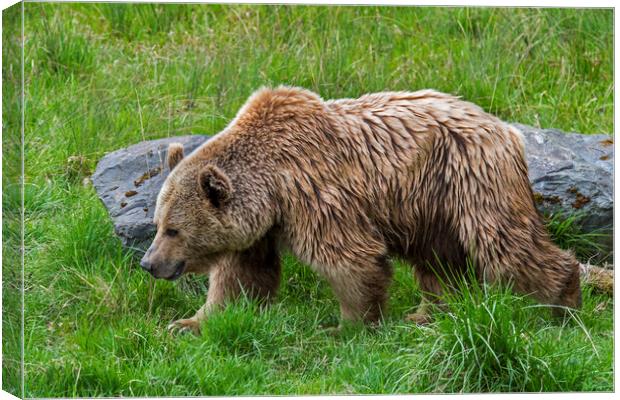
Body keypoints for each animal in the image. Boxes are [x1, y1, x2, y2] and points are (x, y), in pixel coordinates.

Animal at [139, 86, 580, 332]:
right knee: (440, 262)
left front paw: (345, 327)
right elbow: (241, 278)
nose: (148, 263)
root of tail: (506, 128)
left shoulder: (315, 192)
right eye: (157, 223)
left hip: (471, 178)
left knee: (504, 244)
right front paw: (188, 323)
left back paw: (562, 302)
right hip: (431, 206)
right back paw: (429, 314)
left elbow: (350, 257)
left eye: (174, 229)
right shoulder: (259, 228)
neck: (273, 186)